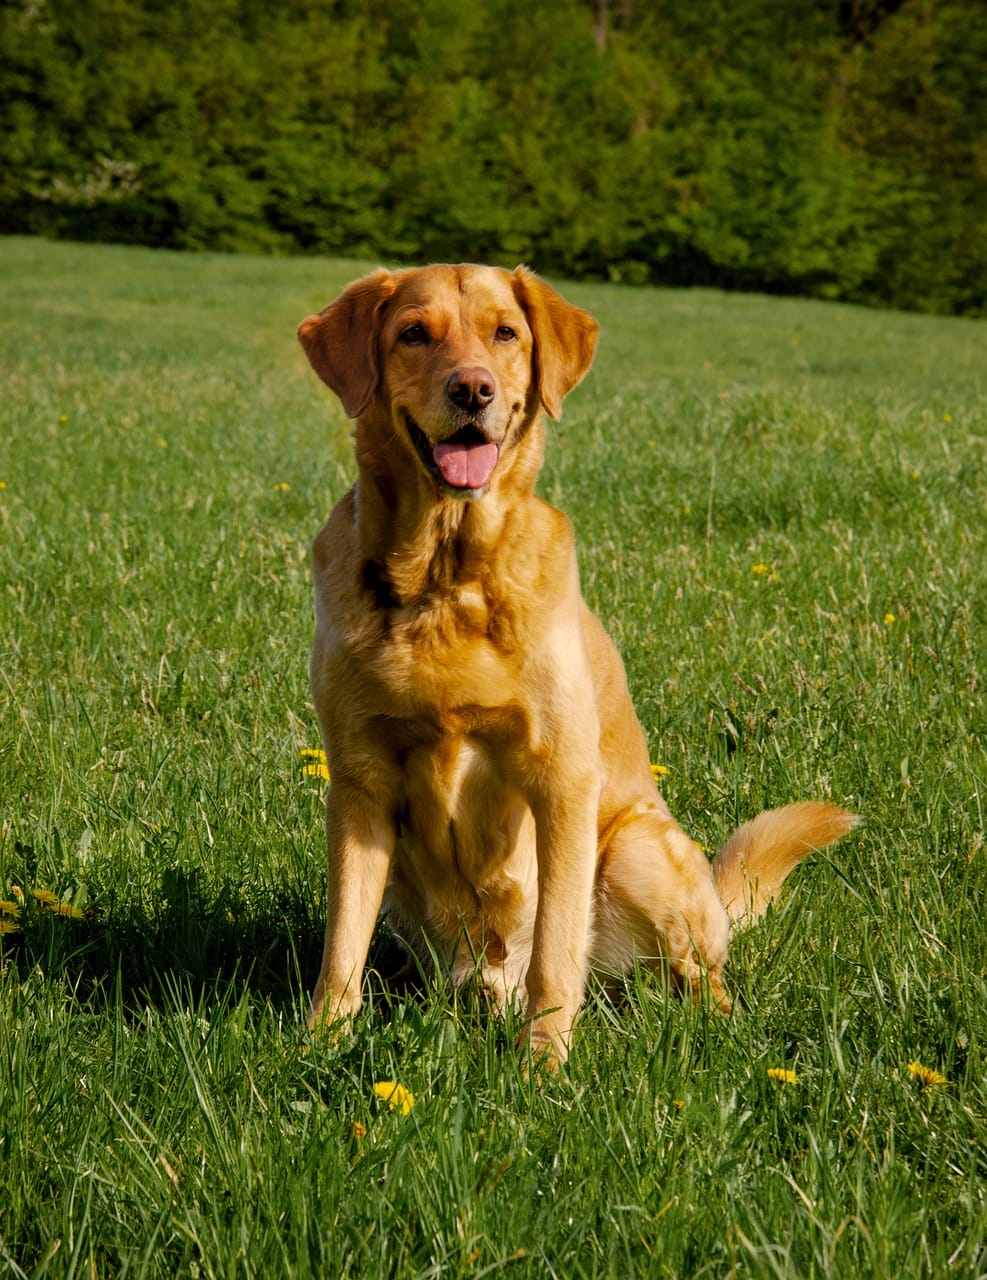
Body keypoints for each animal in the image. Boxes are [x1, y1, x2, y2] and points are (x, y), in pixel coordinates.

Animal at [296, 264, 860, 1064]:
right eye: (413, 334)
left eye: (505, 333)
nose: (473, 390)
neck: (447, 579)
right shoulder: (358, 785)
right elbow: (343, 940)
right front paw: (320, 1042)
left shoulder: (559, 780)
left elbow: (555, 952)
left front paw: (543, 1065)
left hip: (635, 850)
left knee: (693, 974)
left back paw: (715, 1028)